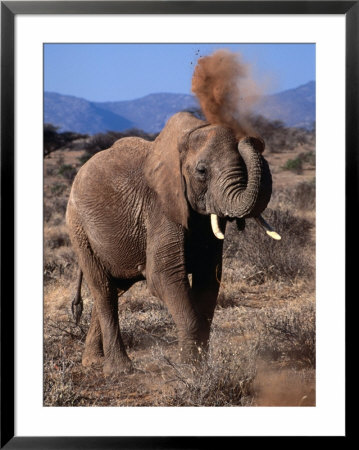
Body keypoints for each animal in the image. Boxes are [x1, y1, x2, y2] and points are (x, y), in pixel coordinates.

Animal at [66, 110, 278, 374]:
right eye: (201, 171)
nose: (253, 138)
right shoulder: (160, 207)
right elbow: (162, 276)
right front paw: (189, 369)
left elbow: (209, 278)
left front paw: (199, 367)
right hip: (78, 228)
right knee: (103, 289)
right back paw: (119, 370)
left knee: (113, 289)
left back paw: (93, 362)